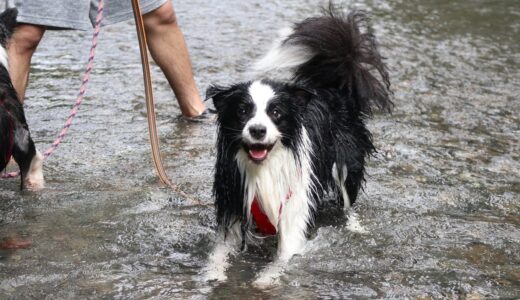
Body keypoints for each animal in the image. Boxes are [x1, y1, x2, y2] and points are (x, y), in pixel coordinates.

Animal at [205, 5, 392, 284]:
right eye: (242, 111)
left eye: (276, 113)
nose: (258, 130)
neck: (264, 168)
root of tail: (332, 87)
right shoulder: (234, 201)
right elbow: (219, 252)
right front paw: (211, 275)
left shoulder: (294, 213)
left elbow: (280, 261)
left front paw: (262, 282)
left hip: (345, 163)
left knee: (348, 203)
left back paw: (355, 227)